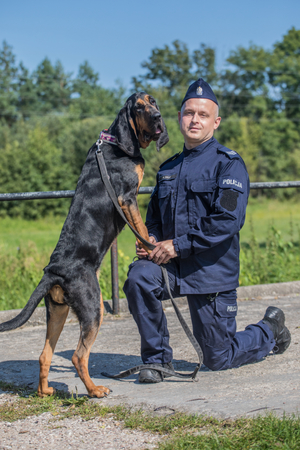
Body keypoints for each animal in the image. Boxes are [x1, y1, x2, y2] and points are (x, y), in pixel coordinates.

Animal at [0, 92, 169, 398]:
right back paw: (95, 390)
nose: (158, 117)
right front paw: (152, 250)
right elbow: (141, 230)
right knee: (79, 356)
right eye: (138, 108)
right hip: (93, 308)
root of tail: (54, 271)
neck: (114, 142)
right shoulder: (128, 198)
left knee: (45, 355)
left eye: (152, 102)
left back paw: (46, 392)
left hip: (58, 310)